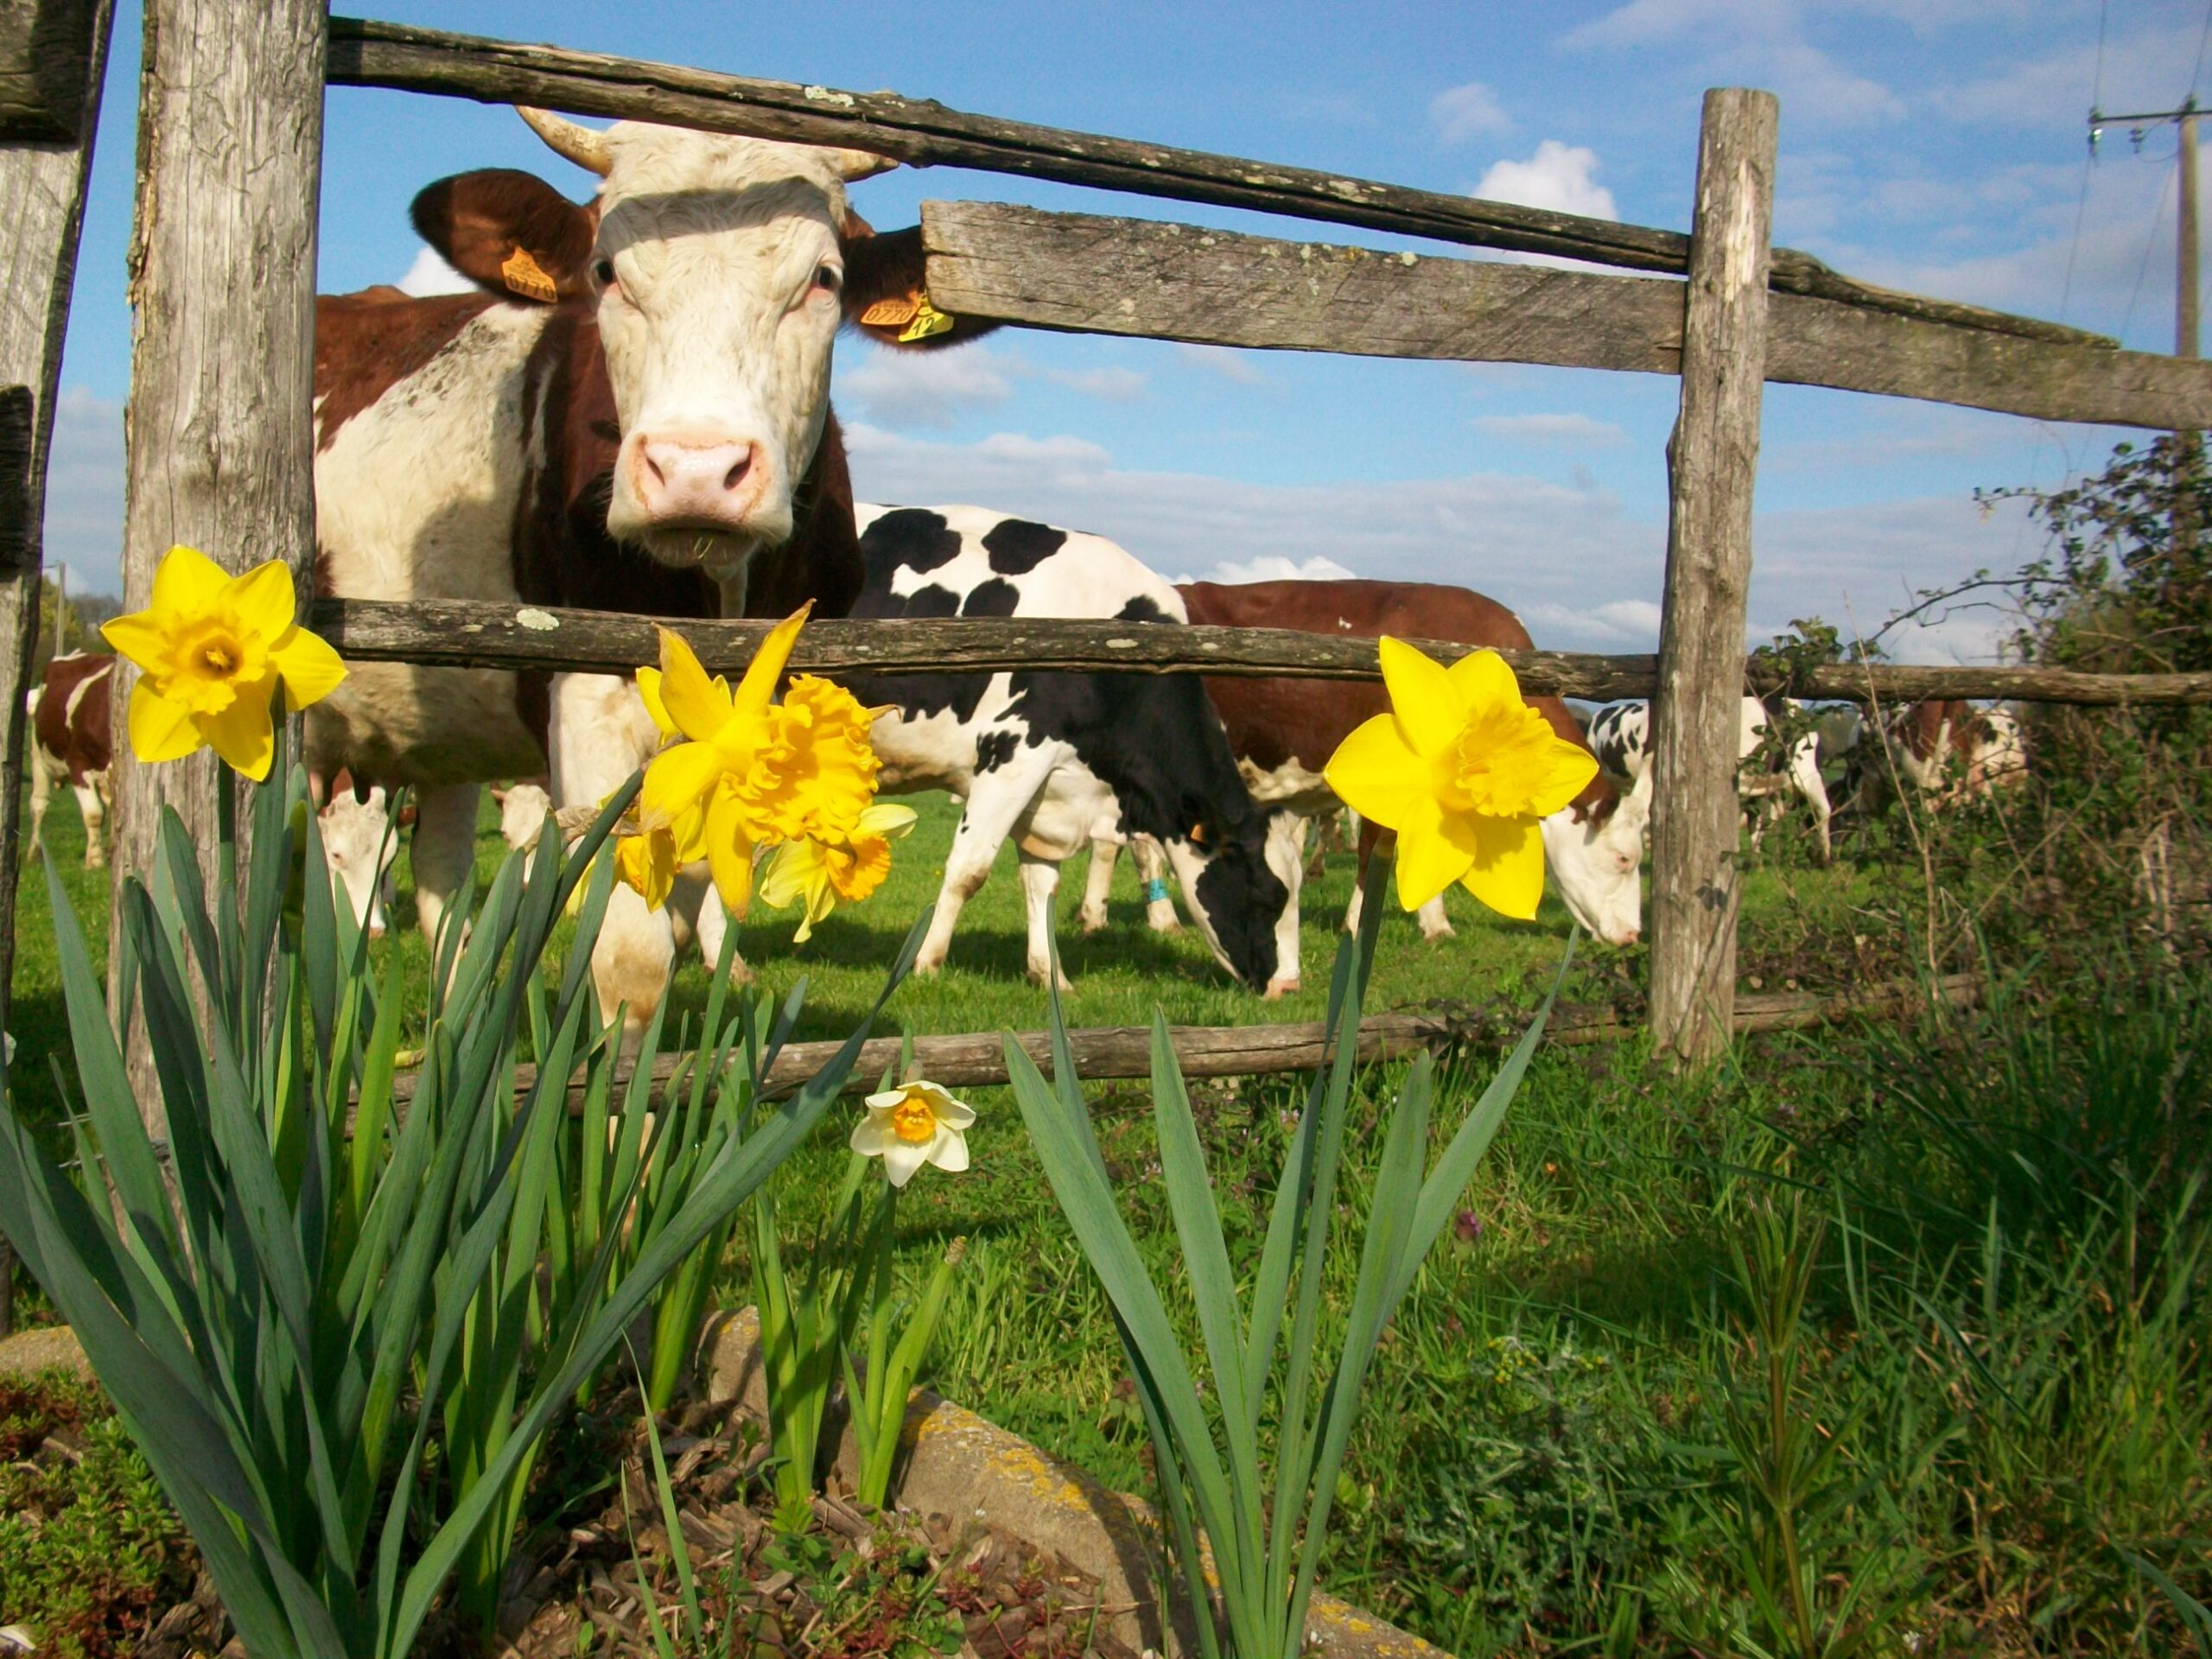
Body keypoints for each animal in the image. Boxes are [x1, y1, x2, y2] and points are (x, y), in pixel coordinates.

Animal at [27, 653, 114, 870]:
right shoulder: (78, 764)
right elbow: (94, 814)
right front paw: (94, 860)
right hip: (38, 758)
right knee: (39, 804)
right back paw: (34, 852)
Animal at [307, 109, 989, 1033]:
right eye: (607, 272)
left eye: (823, 278)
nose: (695, 471)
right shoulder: (587, 695)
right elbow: (630, 964)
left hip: (438, 730)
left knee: (442, 884)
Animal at [840, 506, 1296, 994]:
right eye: (1269, 897)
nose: (1289, 987)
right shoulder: (1013, 751)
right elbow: (969, 870)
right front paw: (925, 966)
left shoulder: (1051, 786)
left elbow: (1043, 884)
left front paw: (1051, 977)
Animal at [1086, 580, 1649, 980]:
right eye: (1625, 859)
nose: (1632, 937)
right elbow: (1377, 849)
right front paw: (1369, 925)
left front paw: (1430, 922)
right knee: (1125, 842)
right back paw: (1145, 917)